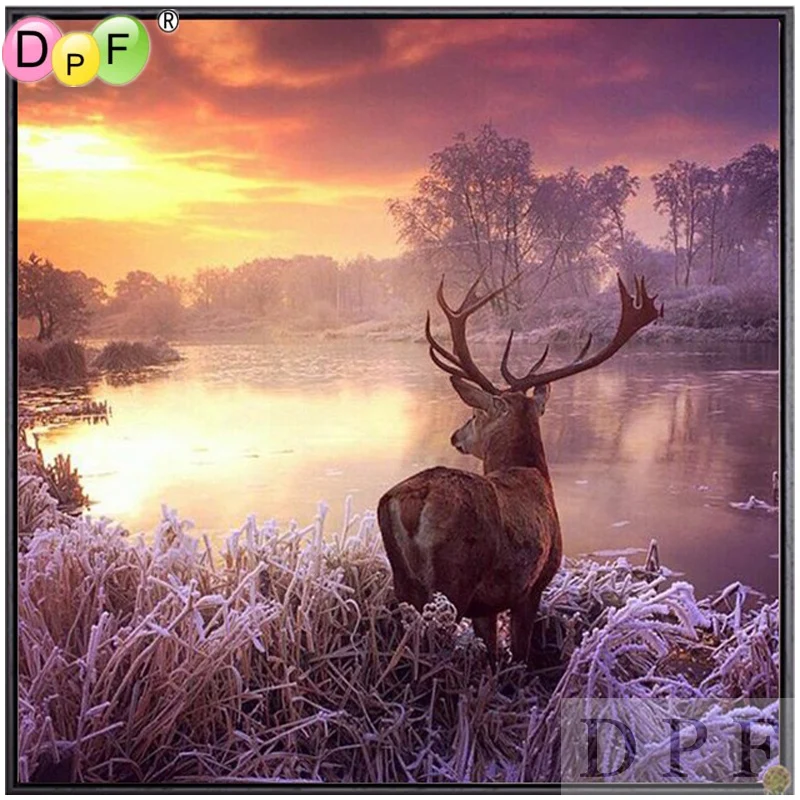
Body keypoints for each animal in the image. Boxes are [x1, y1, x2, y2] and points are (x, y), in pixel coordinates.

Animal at [377, 272, 663, 667]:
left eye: (475, 414)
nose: (455, 436)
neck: (530, 472)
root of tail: (410, 501)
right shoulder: (533, 584)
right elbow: (521, 653)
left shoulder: (487, 604)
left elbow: (493, 652)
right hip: (453, 581)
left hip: (404, 582)